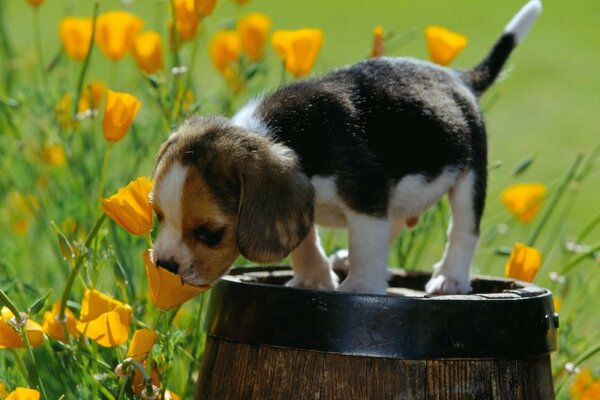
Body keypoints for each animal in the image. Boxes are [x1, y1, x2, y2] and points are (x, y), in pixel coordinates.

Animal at [150, 0, 544, 294]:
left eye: (210, 234)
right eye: (158, 215)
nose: (164, 266)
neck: (279, 134)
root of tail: (459, 78)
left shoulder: (365, 197)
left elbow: (367, 247)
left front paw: (360, 287)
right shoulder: (303, 203)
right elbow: (305, 241)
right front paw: (313, 278)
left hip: (470, 174)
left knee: (463, 228)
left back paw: (450, 278)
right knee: (396, 219)